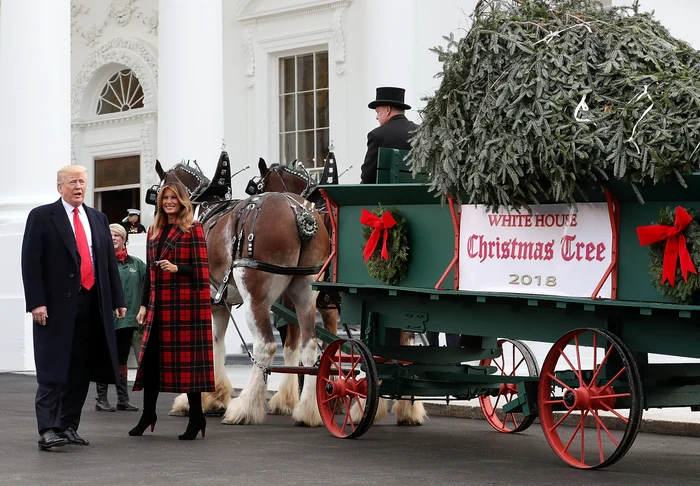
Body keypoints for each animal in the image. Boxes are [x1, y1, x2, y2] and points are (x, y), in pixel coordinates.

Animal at [160, 160, 330, 426]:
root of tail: (298, 212)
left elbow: (209, 344)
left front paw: (195, 400)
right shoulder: (220, 303)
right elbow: (217, 342)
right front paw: (215, 395)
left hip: (256, 297)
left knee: (266, 346)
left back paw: (245, 407)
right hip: (306, 292)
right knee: (309, 345)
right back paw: (308, 410)